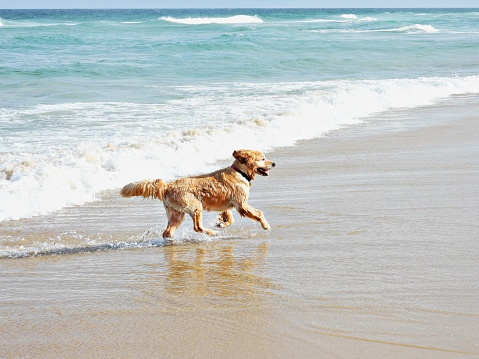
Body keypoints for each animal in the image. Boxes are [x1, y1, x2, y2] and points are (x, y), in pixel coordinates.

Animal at [121, 149, 278, 239]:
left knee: (167, 232)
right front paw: (265, 225)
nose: (274, 164)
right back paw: (213, 234)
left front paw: (222, 223)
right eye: (262, 159)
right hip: (196, 206)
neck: (240, 172)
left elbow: (230, 218)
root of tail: (166, 185)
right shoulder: (241, 203)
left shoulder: (227, 204)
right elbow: (259, 213)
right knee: (198, 227)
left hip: (176, 214)